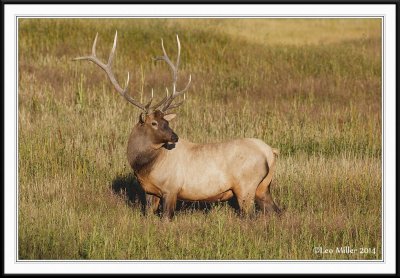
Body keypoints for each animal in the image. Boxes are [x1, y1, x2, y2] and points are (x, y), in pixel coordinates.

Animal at [75, 31, 282, 218]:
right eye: (154, 122)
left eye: (166, 121)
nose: (175, 137)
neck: (145, 167)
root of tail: (270, 152)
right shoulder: (150, 191)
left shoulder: (171, 188)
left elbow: (167, 218)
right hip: (263, 187)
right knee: (276, 211)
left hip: (245, 186)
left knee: (250, 216)